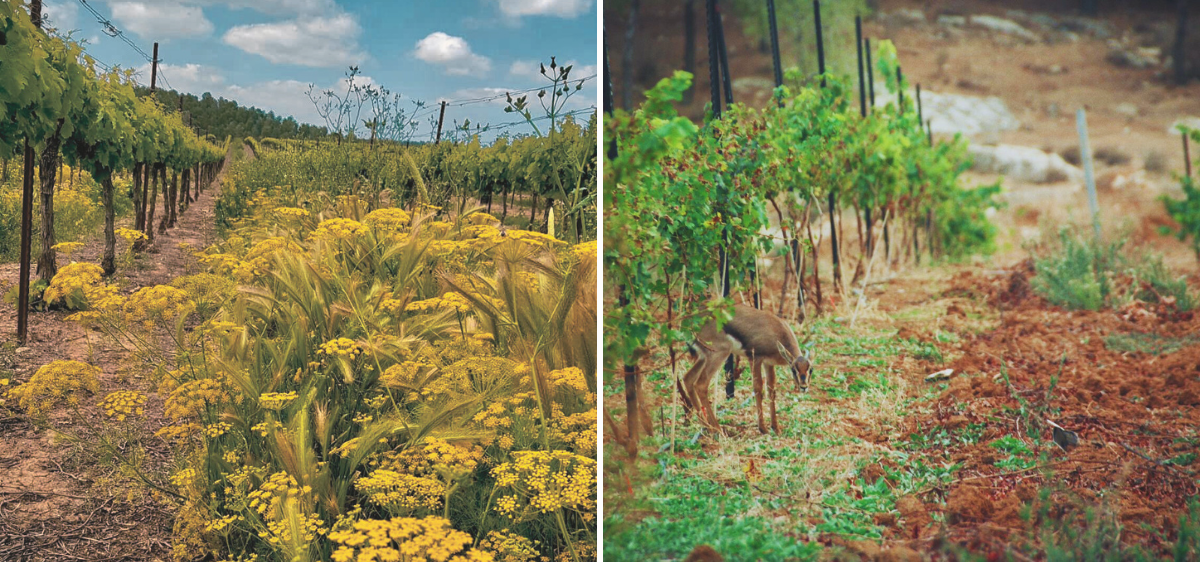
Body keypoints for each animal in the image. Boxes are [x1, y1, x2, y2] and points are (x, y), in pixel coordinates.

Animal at [681, 302, 811, 434]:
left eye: (810, 369)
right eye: (794, 370)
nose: (804, 387)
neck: (777, 332)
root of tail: (691, 321)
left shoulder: (768, 363)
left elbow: (771, 390)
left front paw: (775, 427)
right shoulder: (755, 359)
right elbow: (758, 388)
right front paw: (763, 428)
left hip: (703, 357)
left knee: (688, 378)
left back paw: (706, 426)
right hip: (719, 354)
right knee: (701, 384)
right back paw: (716, 428)